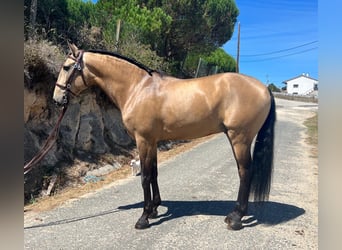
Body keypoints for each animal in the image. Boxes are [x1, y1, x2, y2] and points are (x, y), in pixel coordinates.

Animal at [52, 43, 276, 230]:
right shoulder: (152, 141)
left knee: (245, 172)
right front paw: (154, 209)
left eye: (66, 67)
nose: (57, 99)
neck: (138, 88)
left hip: (239, 138)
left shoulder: (142, 140)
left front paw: (143, 218)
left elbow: (144, 176)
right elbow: (154, 172)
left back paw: (236, 218)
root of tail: (264, 89)